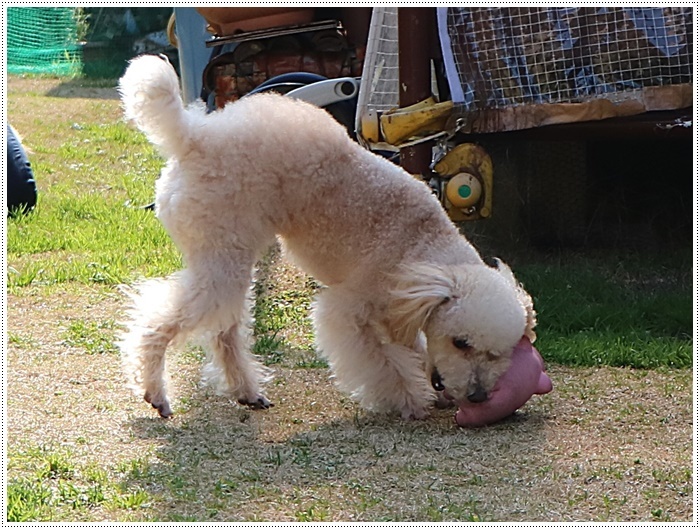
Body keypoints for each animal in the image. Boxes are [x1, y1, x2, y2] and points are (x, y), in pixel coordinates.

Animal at [119, 55, 536, 420]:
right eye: (459, 342)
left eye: (496, 354)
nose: (478, 396)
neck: (419, 244)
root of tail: (193, 135)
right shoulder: (349, 312)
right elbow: (382, 363)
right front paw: (409, 400)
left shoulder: (401, 309)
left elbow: (412, 348)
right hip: (222, 257)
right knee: (159, 319)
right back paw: (156, 391)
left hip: (229, 258)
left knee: (225, 332)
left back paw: (247, 391)